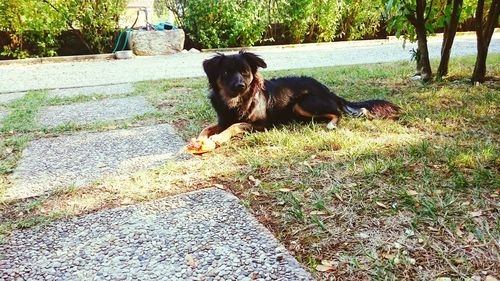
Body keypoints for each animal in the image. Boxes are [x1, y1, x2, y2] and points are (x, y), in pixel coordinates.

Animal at [189, 50, 400, 151]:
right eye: (226, 73)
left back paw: (331, 124)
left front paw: (218, 138)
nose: (240, 85)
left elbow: (235, 126)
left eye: (245, 72)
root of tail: (326, 89)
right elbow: (207, 128)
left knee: (337, 112)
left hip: (302, 103)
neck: (236, 102)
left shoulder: (262, 125)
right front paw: (200, 140)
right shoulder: (222, 120)